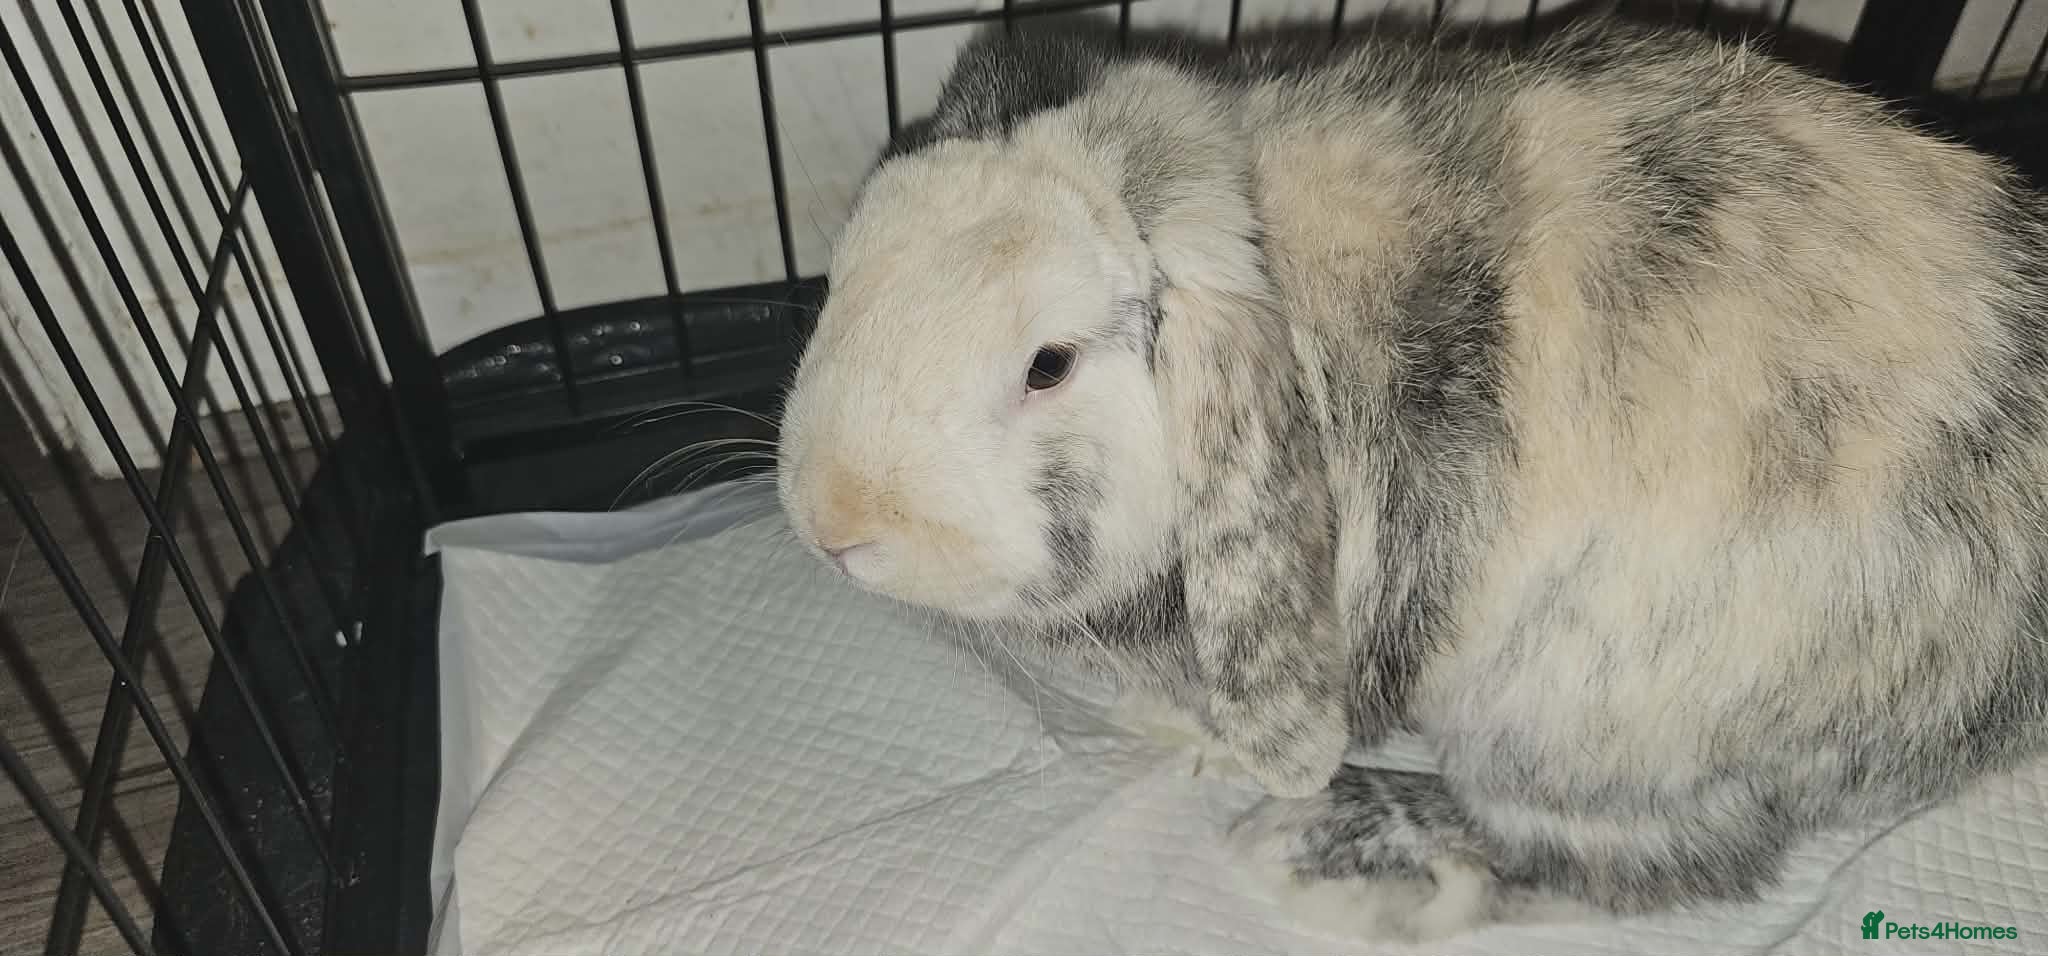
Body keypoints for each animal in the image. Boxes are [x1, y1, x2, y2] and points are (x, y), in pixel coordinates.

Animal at [772, 14, 2048, 943]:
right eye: (843, 270)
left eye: (1047, 364)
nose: (834, 522)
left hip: (1570, 723)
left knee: (1633, 864)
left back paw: (1326, 855)